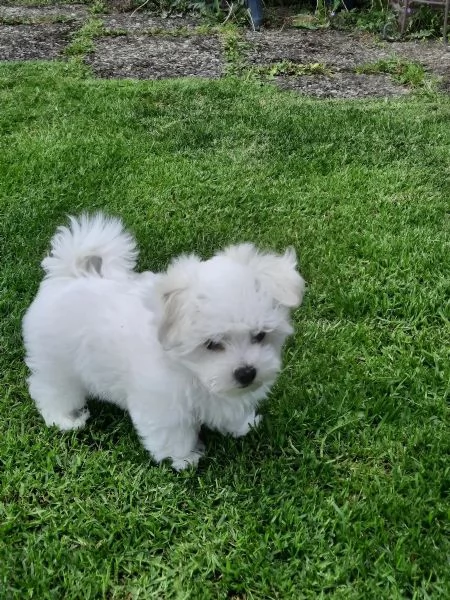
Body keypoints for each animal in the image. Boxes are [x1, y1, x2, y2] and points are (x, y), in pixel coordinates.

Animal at [22, 214, 306, 468]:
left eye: (260, 335)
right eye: (212, 344)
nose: (246, 372)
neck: (188, 368)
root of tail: (67, 277)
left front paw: (242, 425)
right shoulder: (163, 405)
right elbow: (173, 433)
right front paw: (184, 459)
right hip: (57, 361)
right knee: (51, 389)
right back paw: (64, 419)